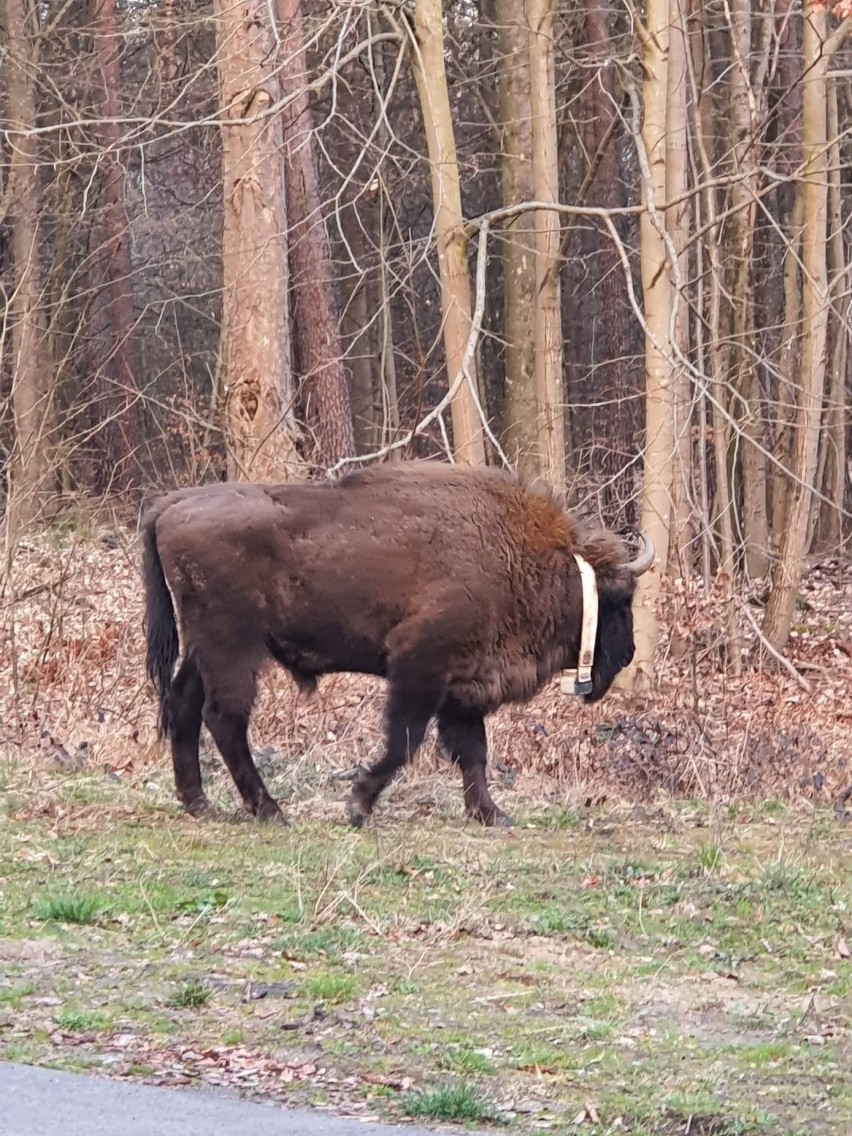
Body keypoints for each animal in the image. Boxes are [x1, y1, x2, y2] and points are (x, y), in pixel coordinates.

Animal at [142, 458, 654, 827]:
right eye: (619, 601)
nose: (628, 654)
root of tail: (169, 505)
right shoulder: (419, 666)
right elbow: (404, 741)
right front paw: (358, 805)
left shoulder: (462, 687)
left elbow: (473, 751)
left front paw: (492, 814)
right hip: (233, 646)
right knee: (224, 717)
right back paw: (270, 811)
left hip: (203, 649)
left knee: (184, 704)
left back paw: (199, 803)